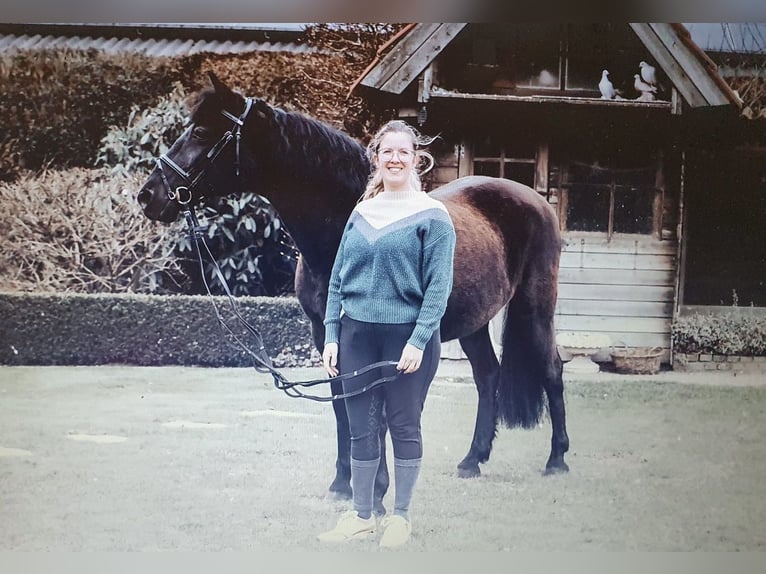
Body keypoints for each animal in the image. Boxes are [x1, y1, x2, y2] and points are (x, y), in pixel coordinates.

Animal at [138, 75, 568, 512]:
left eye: (201, 132)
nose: (148, 195)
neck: (343, 228)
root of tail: (536, 201)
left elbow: (376, 412)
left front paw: (375, 489)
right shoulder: (327, 337)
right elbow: (344, 408)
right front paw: (343, 483)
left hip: (535, 307)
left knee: (551, 369)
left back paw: (557, 460)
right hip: (474, 322)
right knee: (487, 375)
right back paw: (472, 460)